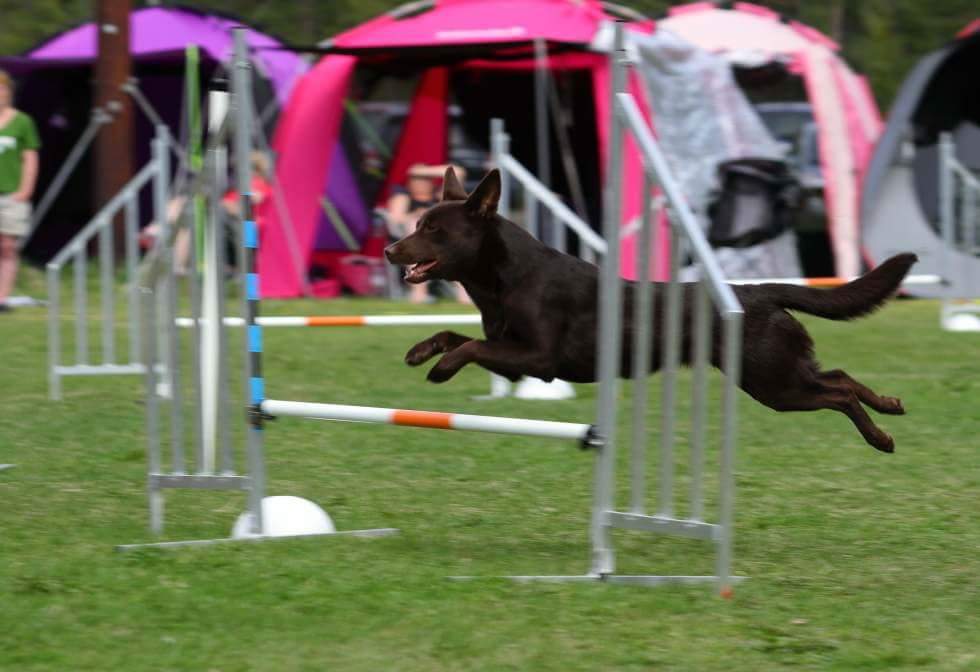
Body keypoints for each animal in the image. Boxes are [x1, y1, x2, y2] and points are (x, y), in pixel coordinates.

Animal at [385, 167, 915, 453]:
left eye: (433, 230)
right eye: (417, 222)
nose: (390, 249)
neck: (503, 278)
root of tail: (760, 292)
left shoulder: (538, 359)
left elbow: (470, 346)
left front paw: (442, 369)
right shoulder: (511, 354)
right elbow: (458, 336)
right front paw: (421, 351)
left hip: (773, 382)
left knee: (837, 392)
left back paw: (881, 438)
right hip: (778, 373)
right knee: (839, 376)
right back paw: (890, 405)